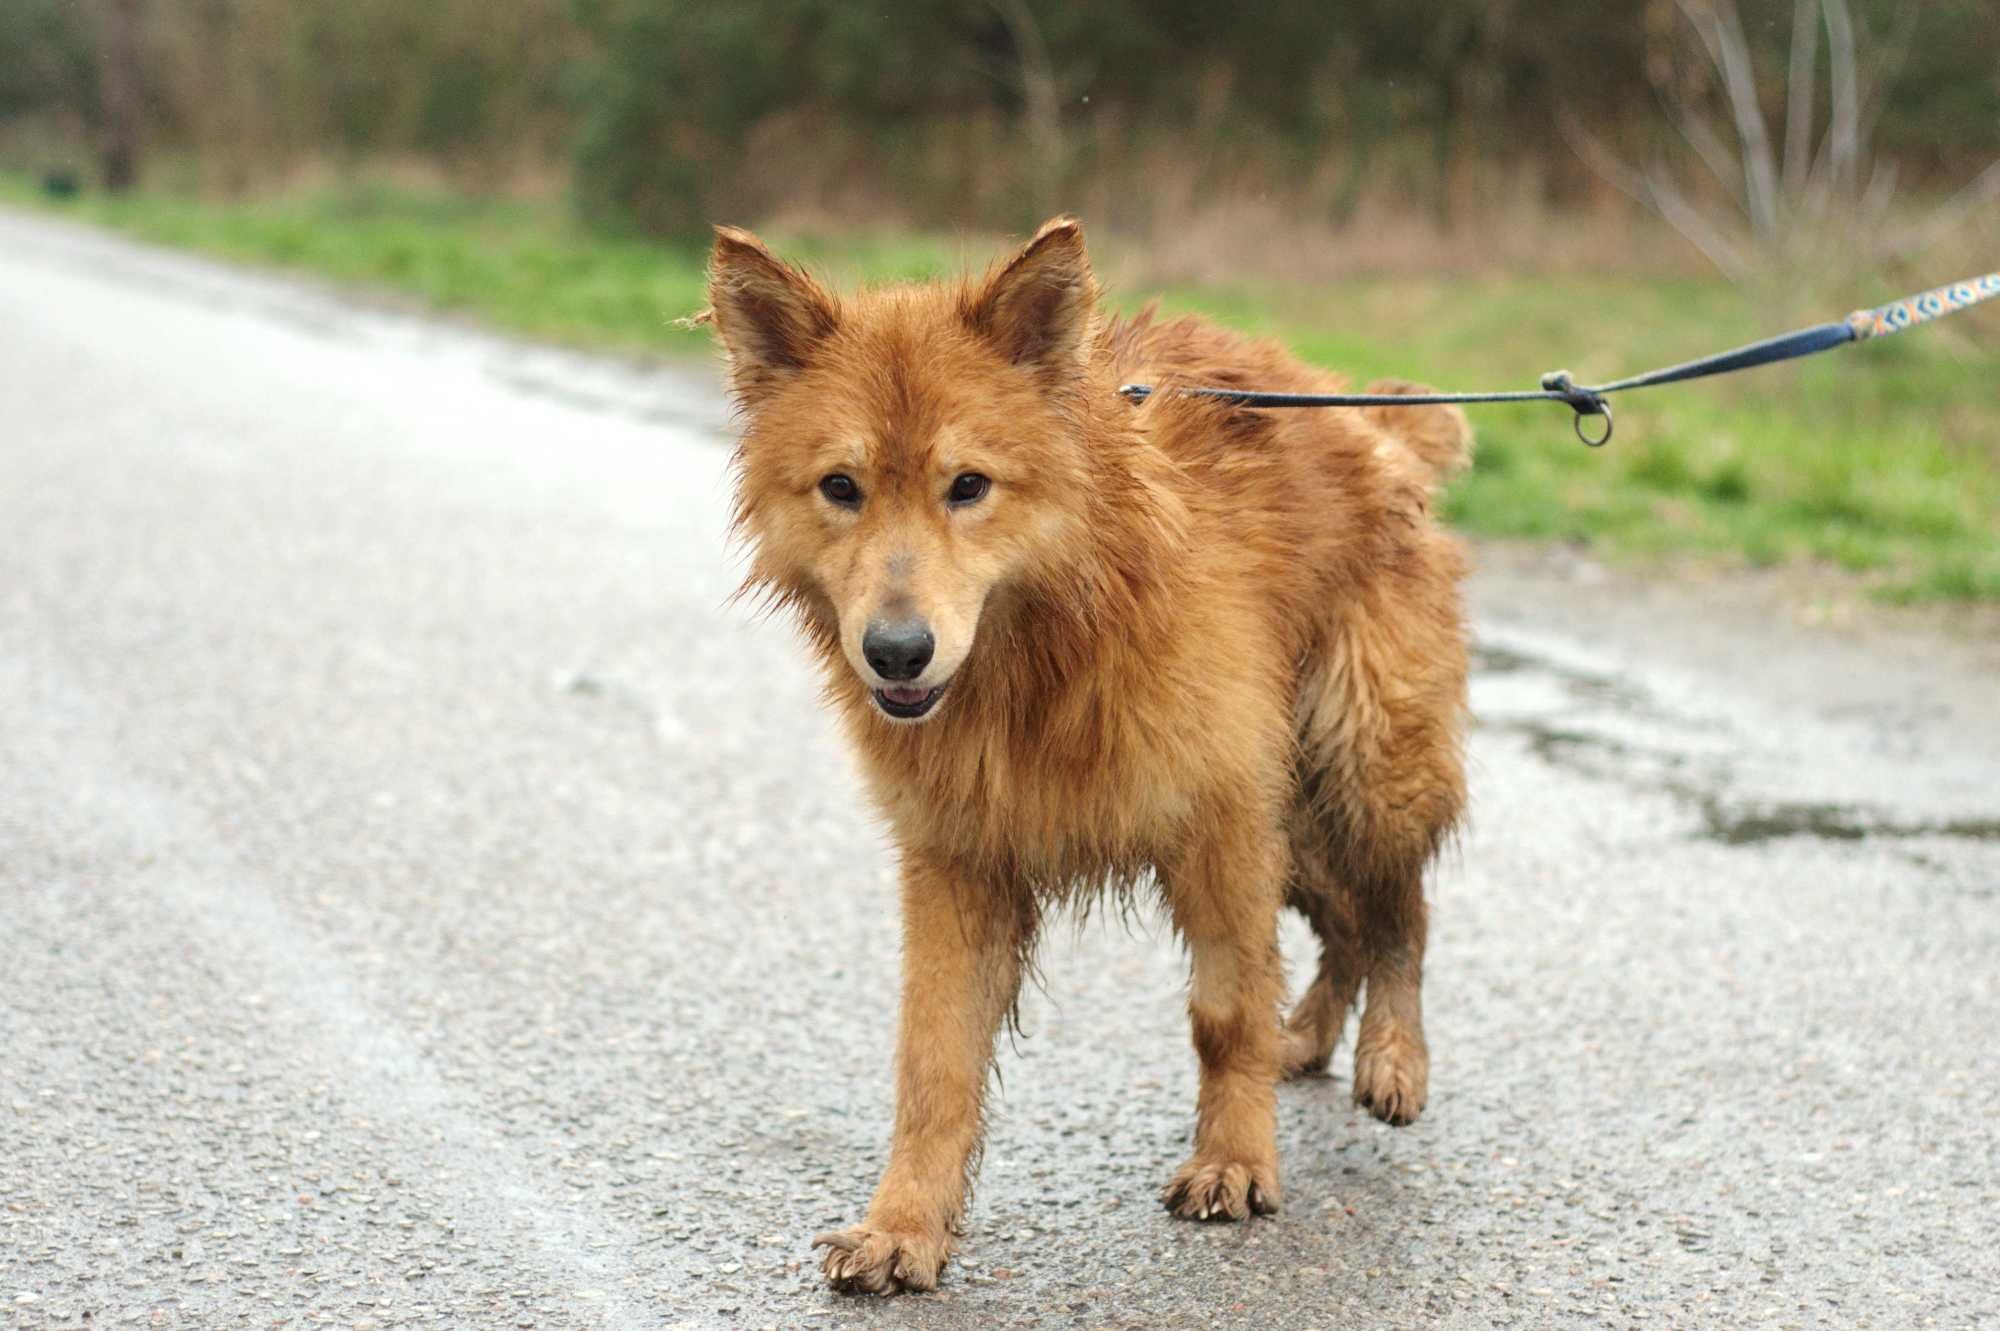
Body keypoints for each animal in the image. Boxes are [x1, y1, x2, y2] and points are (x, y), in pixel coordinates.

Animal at [704, 219, 1472, 1295]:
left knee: (1398, 907)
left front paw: (1234, 1160)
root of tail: (1368, 421)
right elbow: (933, 1063)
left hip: (1356, 767)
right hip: (1294, 818)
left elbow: (1225, 1013)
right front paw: (904, 1223)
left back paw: (1390, 1055)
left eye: (968, 486)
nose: (895, 652)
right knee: (1347, 924)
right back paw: (1313, 1035)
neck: (1044, 654)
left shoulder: (1219, 825)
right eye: (840, 489)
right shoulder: (959, 864)